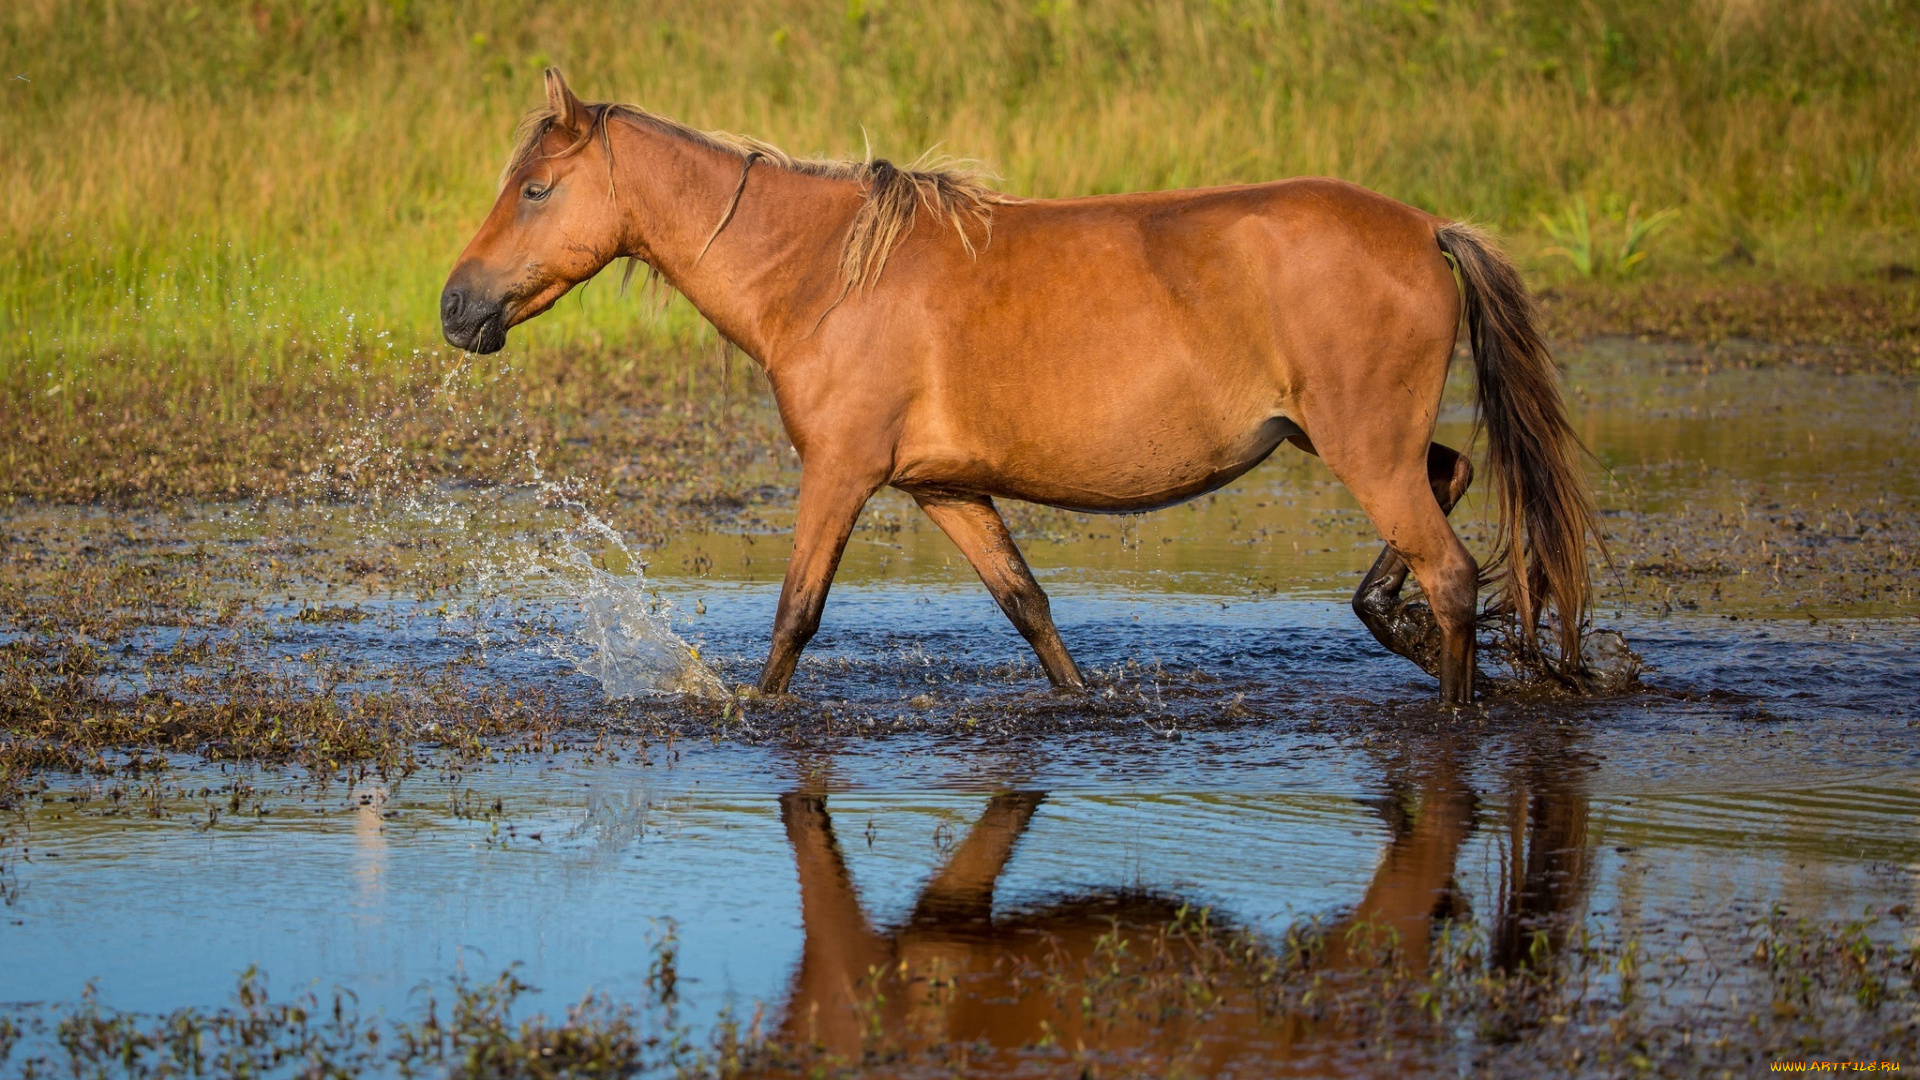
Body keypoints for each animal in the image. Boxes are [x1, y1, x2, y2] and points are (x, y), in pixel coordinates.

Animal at [441, 71, 1597, 703]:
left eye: (535, 189)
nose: (455, 308)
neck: (823, 275)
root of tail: (1427, 229)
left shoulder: (840, 474)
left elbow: (794, 620)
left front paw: (751, 716)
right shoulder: (946, 489)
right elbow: (1030, 610)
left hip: (1361, 448)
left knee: (1454, 573)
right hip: (1351, 441)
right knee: (1451, 485)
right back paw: (1397, 627)